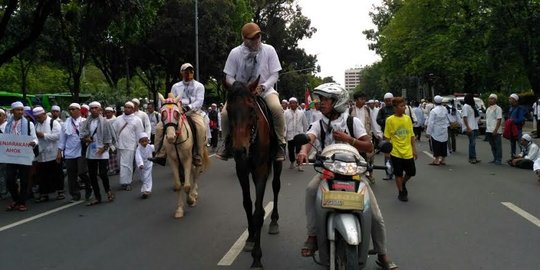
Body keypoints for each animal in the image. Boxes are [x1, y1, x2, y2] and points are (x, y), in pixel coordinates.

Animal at [224, 77, 282, 268]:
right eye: (229, 109)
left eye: (251, 109)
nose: (239, 150)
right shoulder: (241, 169)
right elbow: (248, 204)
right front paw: (250, 238)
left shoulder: (261, 170)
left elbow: (257, 213)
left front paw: (257, 258)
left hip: (276, 162)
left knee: (276, 186)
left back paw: (274, 221)